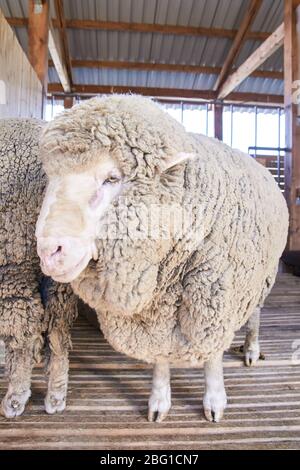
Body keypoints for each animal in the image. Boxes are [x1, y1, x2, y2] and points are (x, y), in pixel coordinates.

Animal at [35, 95, 288, 422]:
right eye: (52, 177)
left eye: (111, 178)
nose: (49, 251)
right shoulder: (157, 307)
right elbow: (159, 355)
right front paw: (159, 400)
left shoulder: (214, 296)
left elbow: (212, 356)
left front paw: (214, 400)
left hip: (259, 276)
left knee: (255, 312)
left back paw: (251, 348)